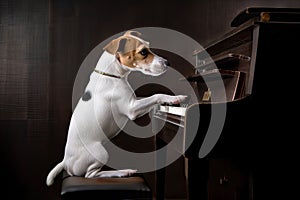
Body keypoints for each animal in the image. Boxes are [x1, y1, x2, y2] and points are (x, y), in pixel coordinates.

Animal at [45, 30, 186, 186]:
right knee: (90, 175)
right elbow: (155, 95)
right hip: (100, 152)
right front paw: (176, 98)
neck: (112, 75)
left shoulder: (135, 100)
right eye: (143, 52)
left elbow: (149, 98)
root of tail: (66, 162)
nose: (168, 63)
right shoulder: (132, 108)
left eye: (149, 47)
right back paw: (123, 172)